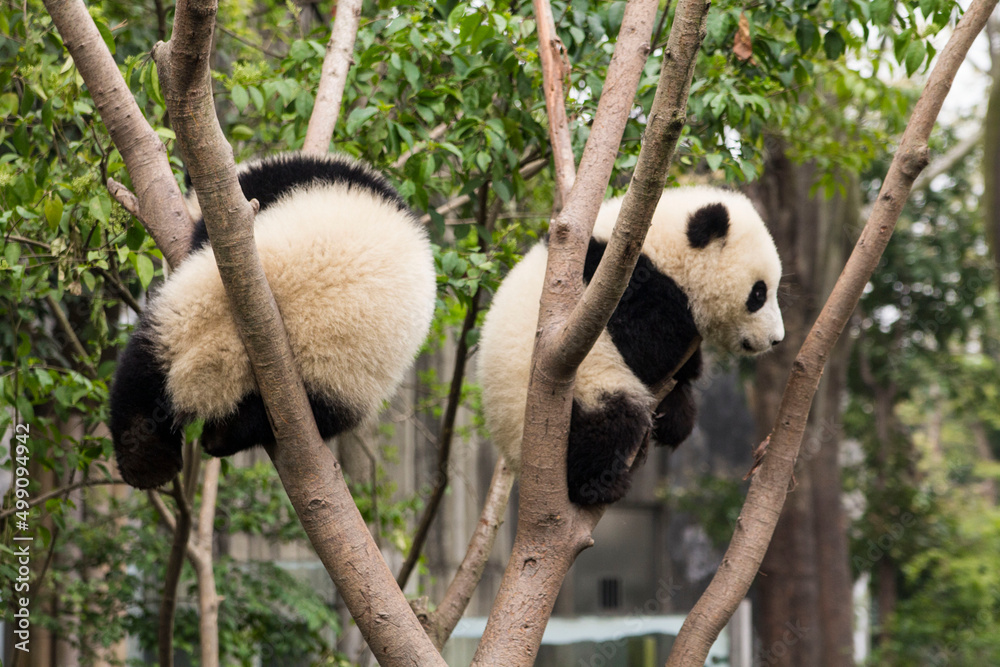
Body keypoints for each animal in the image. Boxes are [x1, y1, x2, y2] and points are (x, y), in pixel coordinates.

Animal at [110, 152, 436, 489]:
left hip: (192, 307)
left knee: (141, 371)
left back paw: (146, 462)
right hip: (336, 385)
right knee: (263, 418)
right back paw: (211, 440)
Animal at [477, 186, 784, 506]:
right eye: (759, 293)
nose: (776, 338)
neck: (662, 247)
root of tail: (515, 456)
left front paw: (681, 399)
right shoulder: (616, 284)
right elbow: (646, 345)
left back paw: (672, 421)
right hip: (571, 396)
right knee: (612, 419)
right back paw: (599, 484)